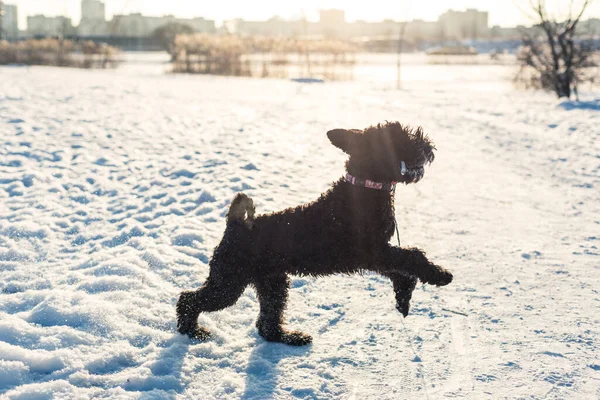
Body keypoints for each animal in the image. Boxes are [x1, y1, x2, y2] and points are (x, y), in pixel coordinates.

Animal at [176, 122, 452, 346]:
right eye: (401, 136)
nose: (426, 143)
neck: (365, 188)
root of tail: (236, 224)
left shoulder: (377, 255)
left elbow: (402, 268)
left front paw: (404, 297)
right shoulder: (373, 251)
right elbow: (412, 256)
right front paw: (440, 275)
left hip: (272, 283)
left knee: (267, 323)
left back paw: (290, 338)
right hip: (229, 282)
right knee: (188, 299)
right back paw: (193, 331)